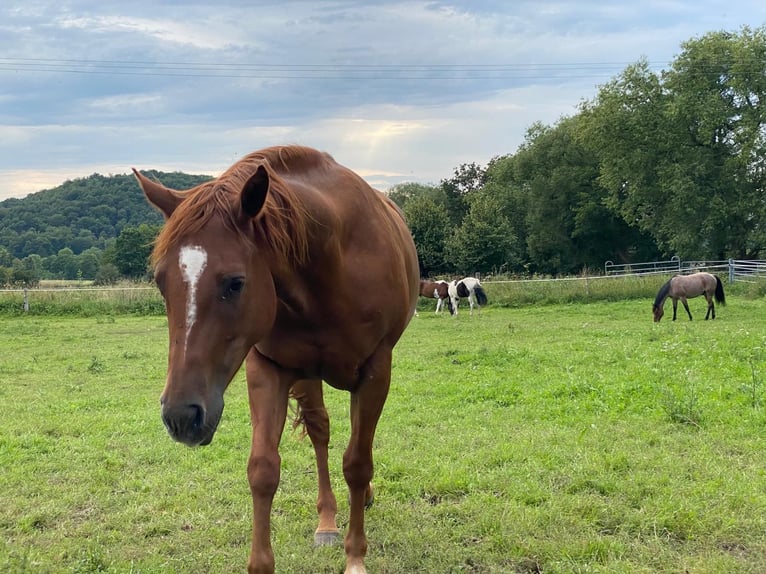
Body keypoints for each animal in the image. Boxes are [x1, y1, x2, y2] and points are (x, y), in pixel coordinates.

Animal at [134, 146, 420, 574]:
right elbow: (263, 469)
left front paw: (355, 557)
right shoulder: (268, 369)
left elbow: (357, 463)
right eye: (160, 281)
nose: (181, 416)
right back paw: (326, 520)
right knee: (320, 430)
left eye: (235, 283)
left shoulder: (375, 371)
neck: (332, 263)